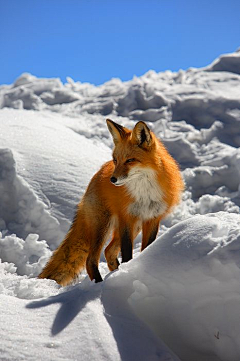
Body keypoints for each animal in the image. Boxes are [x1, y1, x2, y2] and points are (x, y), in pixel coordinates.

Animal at [38, 119, 184, 286]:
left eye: (130, 160)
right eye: (116, 160)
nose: (112, 180)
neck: (144, 191)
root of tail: (95, 176)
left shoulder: (152, 218)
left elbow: (147, 247)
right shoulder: (126, 217)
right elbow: (127, 253)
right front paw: (127, 273)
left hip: (133, 226)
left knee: (108, 251)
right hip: (103, 226)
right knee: (91, 260)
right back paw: (100, 284)